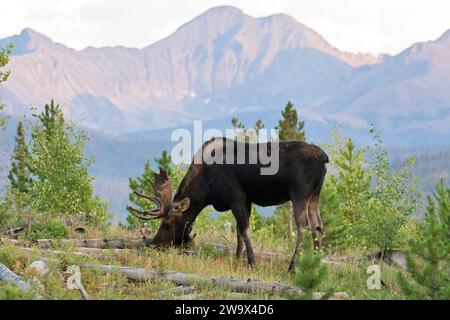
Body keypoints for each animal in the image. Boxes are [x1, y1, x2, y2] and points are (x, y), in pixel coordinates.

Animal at [128, 136, 328, 272]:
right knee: (318, 226)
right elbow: (239, 232)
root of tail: (324, 159)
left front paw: (252, 263)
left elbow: (245, 230)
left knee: (302, 228)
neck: (205, 189)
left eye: (168, 223)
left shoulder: (236, 197)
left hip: (299, 194)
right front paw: (238, 259)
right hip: (315, 195)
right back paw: (316, 263)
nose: (155, 243)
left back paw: (292, 267)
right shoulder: (246, 200)